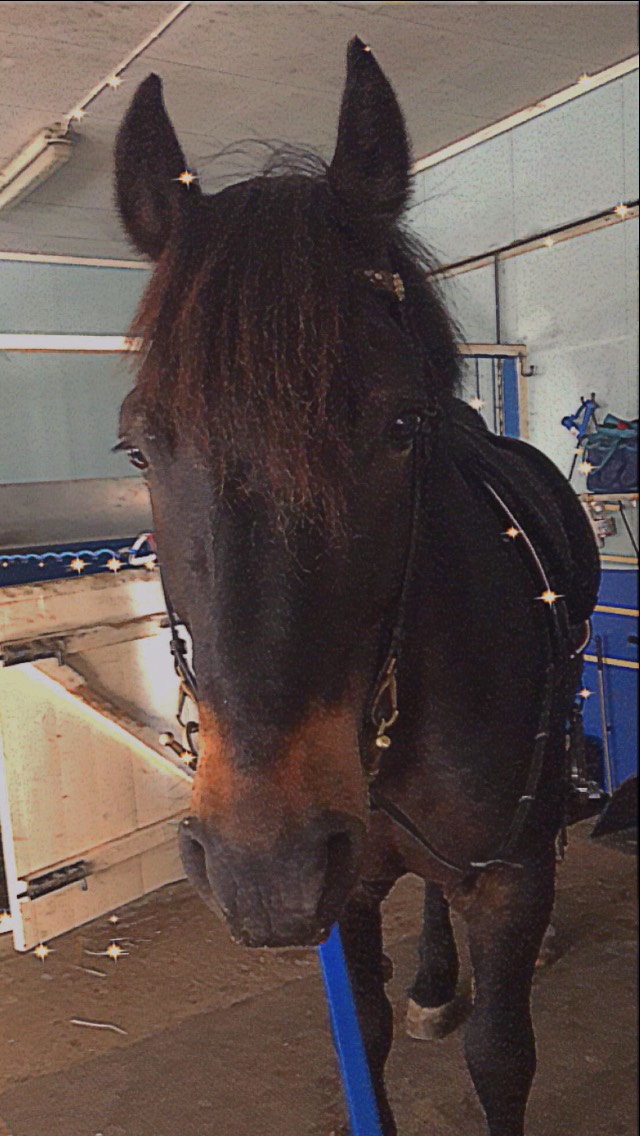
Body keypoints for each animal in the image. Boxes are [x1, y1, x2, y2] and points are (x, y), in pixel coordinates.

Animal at [114, 39, 601, 1136]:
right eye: (139, 448)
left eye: (400, 427)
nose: (264, 870)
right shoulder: (349, 889)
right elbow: (364, 1037)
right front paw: (410, 997)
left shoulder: (508, 879)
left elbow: (501, 1055)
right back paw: (431, 978)